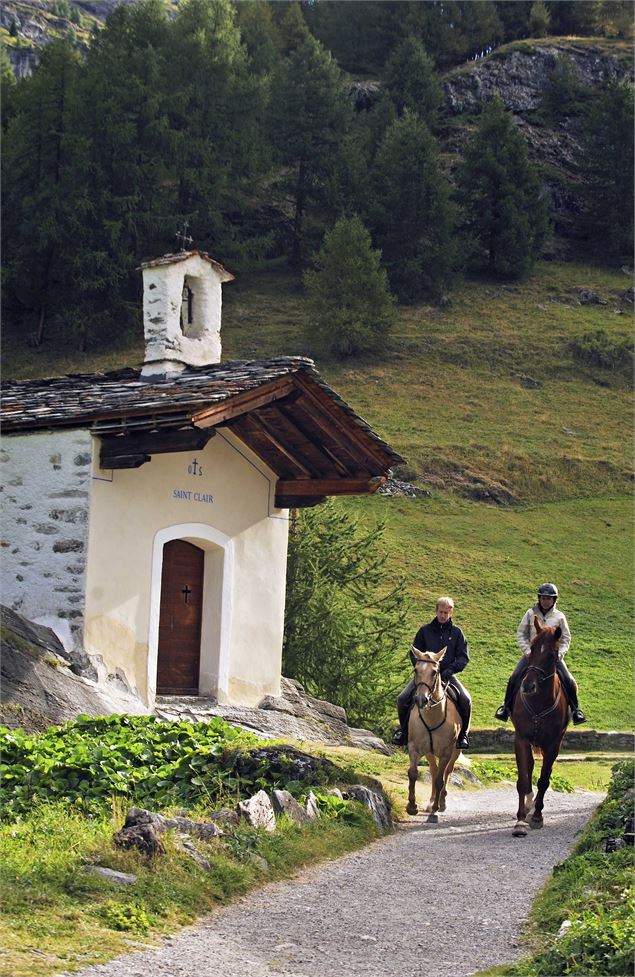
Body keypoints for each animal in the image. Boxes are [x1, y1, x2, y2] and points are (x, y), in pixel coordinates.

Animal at [408, 652, 462, 820]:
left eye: (434, 672)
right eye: (416, 669)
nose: (420, 699)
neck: (432, 716)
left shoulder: (446, 753)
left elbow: (440, 779)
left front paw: (435, 810)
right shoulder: (415, 748)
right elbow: (413, 774)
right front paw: (412, 806)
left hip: (455, 751)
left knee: (447, 772)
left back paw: (441, 802)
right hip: (430, 752)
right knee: (434, 770)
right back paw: (431, 801)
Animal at [512, 620, 572, 836]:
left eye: (552, 655)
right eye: (532, 648)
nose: (528, 686)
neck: (538, 702)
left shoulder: (553, 744)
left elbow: (544, 780)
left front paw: (537, 816)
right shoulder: (521, 739)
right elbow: (523, 779)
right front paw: (520, 821)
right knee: (529, 767)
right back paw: (529, 804)